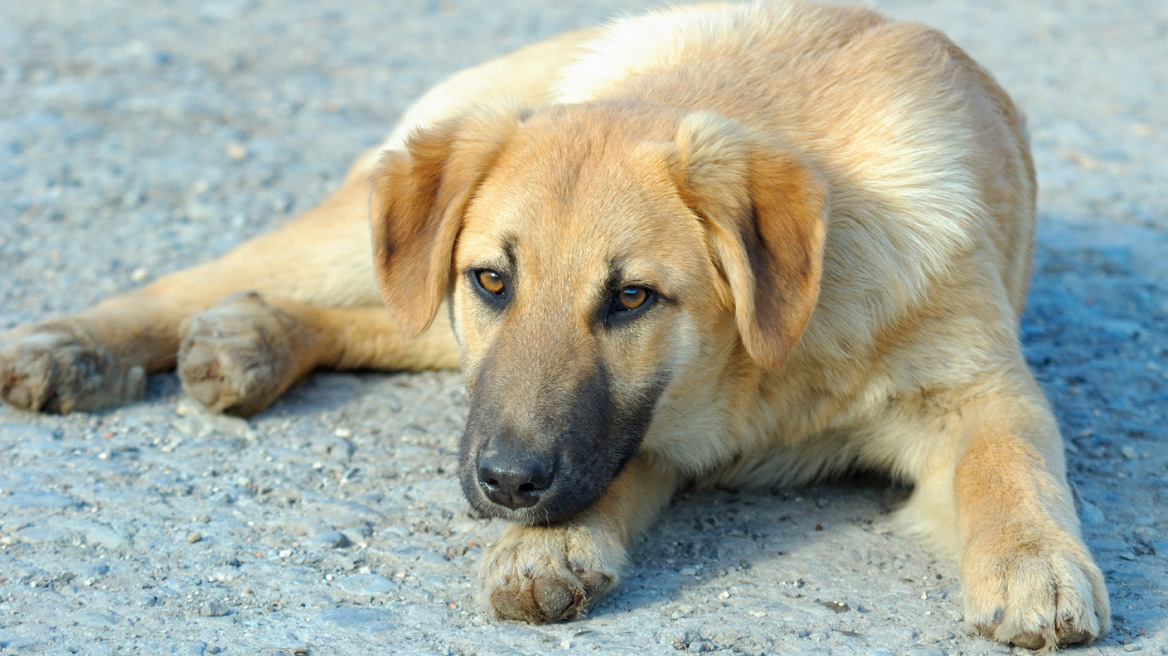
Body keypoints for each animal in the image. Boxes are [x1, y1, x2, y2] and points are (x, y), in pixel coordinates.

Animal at [0, 2, 1111, 648]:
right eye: (494, 280)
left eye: (632, 299)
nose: (502, 484)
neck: (767, 364)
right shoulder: (631, 424)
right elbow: (602, 464)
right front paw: (549, 546)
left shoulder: (978, 389)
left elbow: (1010, 465)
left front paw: (1035, 563)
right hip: (368, 225)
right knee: (220, 277)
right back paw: (80, 343)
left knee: (392, 323)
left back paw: (254, 340)